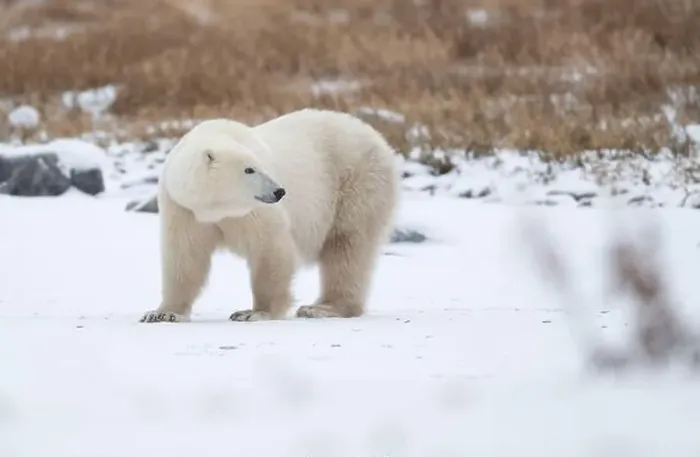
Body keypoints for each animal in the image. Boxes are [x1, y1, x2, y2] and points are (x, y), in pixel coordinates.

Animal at [140, 108, 400, 323]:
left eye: (262, 165)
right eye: (249, 169)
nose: (279, 191)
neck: (215, 208)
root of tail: (380, 140)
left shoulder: (251, 211)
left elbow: (270, 248)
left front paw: (254, 312)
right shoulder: (183, 209)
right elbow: (185, 256)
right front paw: (163, 313)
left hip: (357, 182)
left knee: (346, 246)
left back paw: (322, 308)